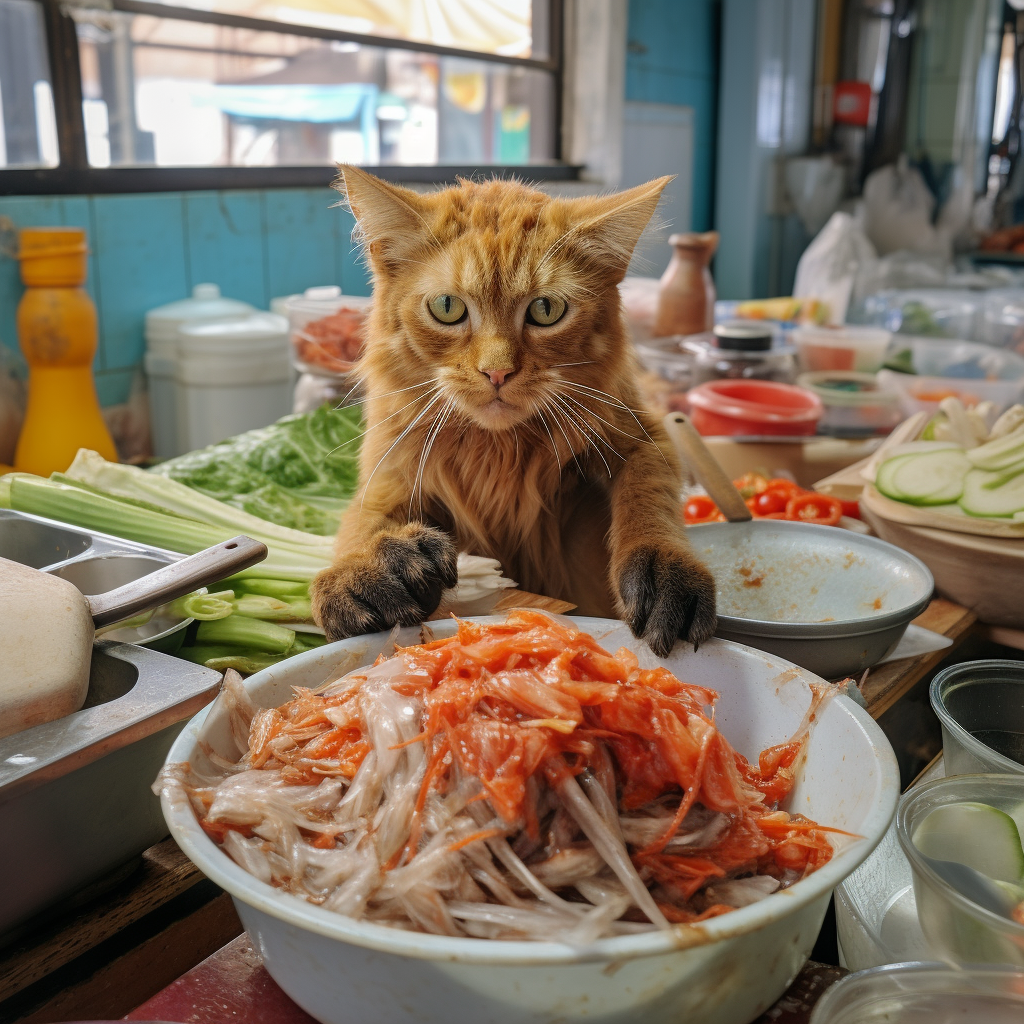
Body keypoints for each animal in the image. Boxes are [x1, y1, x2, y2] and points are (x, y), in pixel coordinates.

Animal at [307, 163, 716, 651]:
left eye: (545, 309)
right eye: (447, 307)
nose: (497, 372)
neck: (497, 451)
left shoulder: (642, 434)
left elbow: (649, 498)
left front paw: (662, 567)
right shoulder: (390, 470)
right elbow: (362, 521)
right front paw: (365, 567)